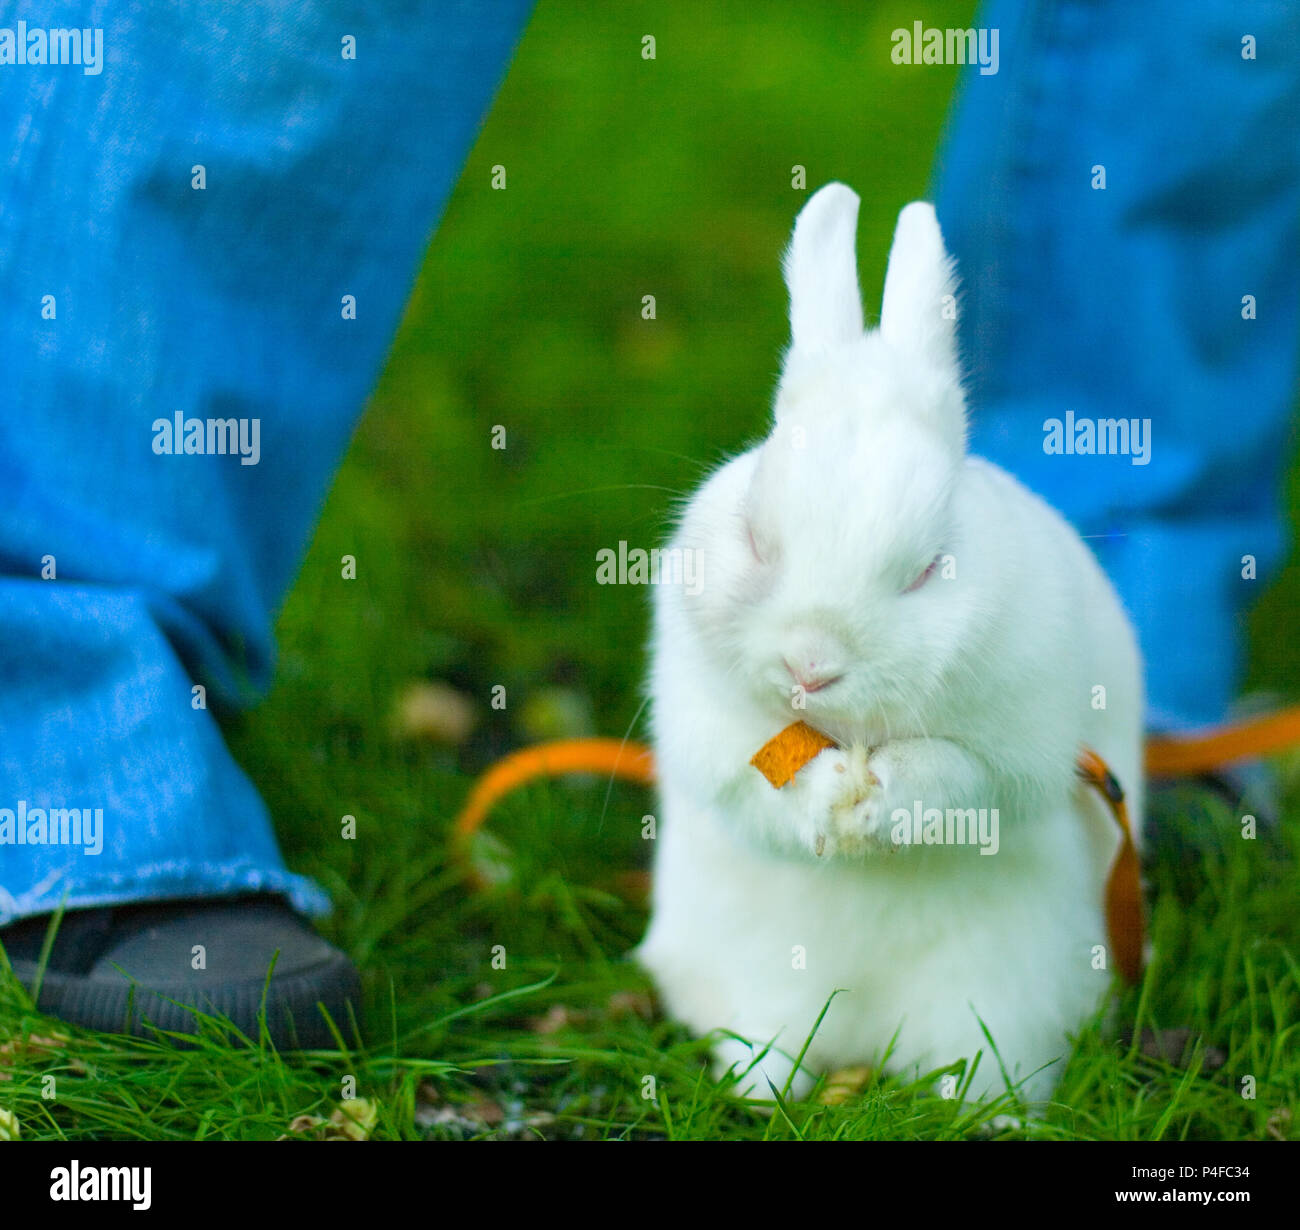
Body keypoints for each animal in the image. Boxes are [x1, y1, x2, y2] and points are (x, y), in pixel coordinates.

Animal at [634, 182, 1144, 1102]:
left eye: (929, 569)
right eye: (755, 537)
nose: (810, 663)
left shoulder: (1024, 752)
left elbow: (962, 777)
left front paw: (877, 801)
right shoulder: (709, 722)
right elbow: (748, 775)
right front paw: (829, 797)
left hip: (1000, 1005)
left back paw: (988, 1112)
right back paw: (760, 1088)